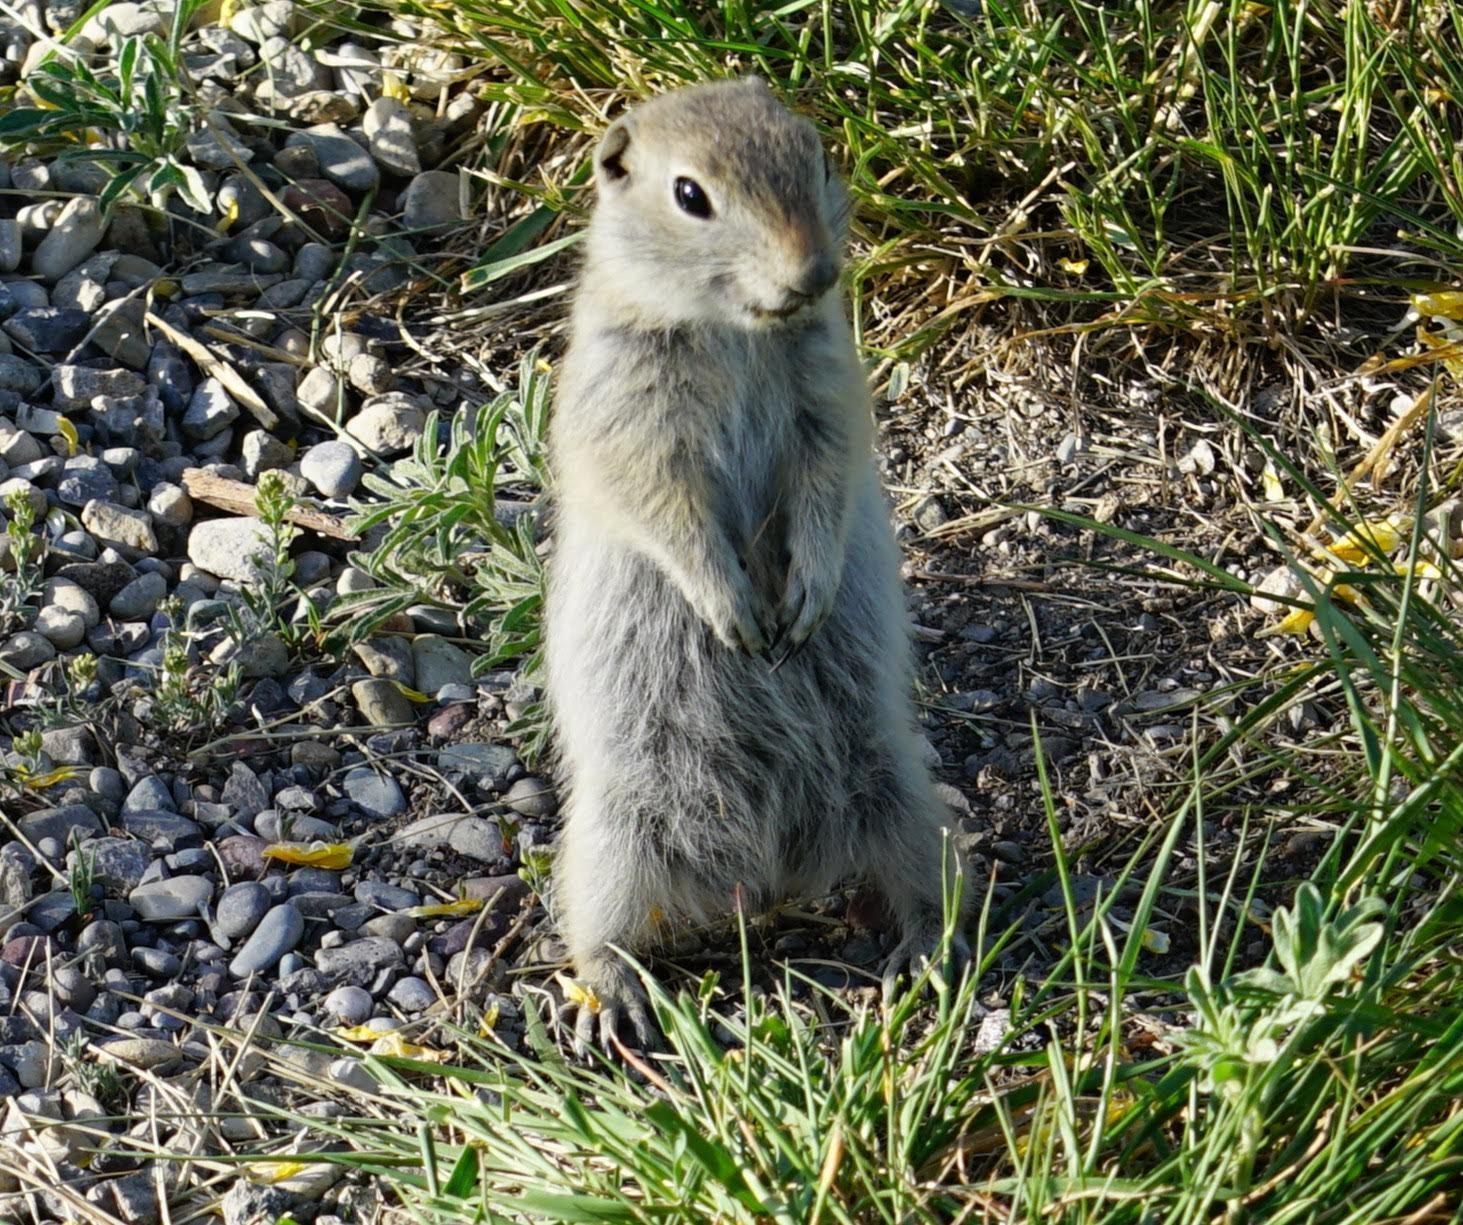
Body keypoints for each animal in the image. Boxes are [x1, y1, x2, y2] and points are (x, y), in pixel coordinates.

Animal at [544, 76, 969, 1050]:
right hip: (613, 835)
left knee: (926, 881)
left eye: (812, 152)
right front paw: (735, 611)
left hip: (899, 789)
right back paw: (613, 1002)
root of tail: (769, 877)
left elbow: (824, 481)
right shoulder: (630, 413)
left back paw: (924, 955)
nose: (815, 273)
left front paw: (801, 597)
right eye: (688, 194)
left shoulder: (831, 391)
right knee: (599, 929)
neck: (734, 331)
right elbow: (666, 505)